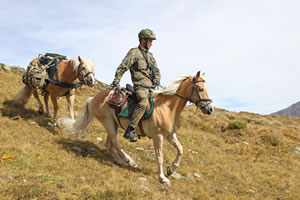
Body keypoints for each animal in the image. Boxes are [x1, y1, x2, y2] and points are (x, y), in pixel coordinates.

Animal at [58, 70, 213, 186]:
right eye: (200, 89)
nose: (210, 108)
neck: (167, 107)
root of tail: (93, 98)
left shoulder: (169, 135)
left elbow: (180, 149)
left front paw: (170, 169)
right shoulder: (158, 136)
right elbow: (159, 157)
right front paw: (163, 178)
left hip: (114, 124)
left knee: (109, 143)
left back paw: (122, 162)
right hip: (108, 123)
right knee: (115, 142)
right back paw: (130, 161)